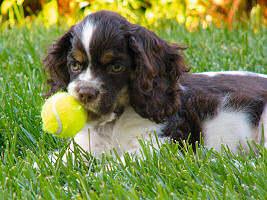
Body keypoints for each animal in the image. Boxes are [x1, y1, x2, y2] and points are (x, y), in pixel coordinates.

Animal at [44, 10, 267, 159]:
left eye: (116, 67)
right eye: (74, 64)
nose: (85, 93)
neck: (112, 125)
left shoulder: (157, 145)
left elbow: (116, 165)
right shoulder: (84, 146)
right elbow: (57, 160)